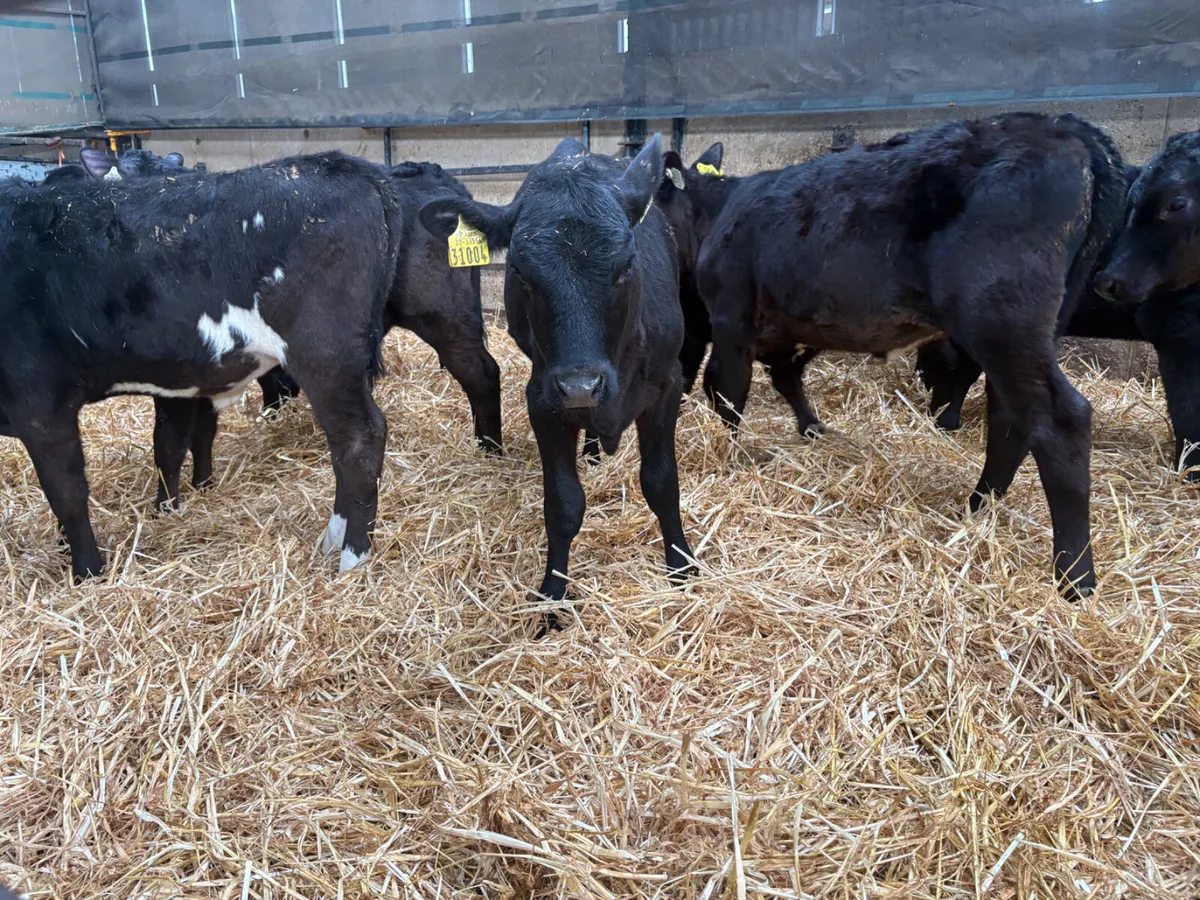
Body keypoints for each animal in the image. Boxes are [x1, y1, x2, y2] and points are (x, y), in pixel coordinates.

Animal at [0, 151, 402, 580]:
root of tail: (344, 165)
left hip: (325, 355)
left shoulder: (40, 404)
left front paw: (87, 571)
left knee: (359, 441)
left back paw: (353, 558)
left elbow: (67, 492)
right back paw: (333, 541)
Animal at [419, 135, 696, 632]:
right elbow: (564, 505)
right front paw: (552, 596)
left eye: (626, 266)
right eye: (521, 272)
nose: (582, 385)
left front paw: (682, 567)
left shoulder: (667, 387)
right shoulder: (543, 401)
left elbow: (662, 484)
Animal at [692, 112, 1130, 600]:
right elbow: (784, 379)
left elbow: (729, 393)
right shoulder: (797, 329)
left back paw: (1074, 575)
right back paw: (978, 505)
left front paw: (729, 460)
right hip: (1025, 330)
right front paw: (812, 429)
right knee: (1011, 417)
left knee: (1059, 419)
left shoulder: (730, 319)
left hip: (1000, 319)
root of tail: (1060, 126)